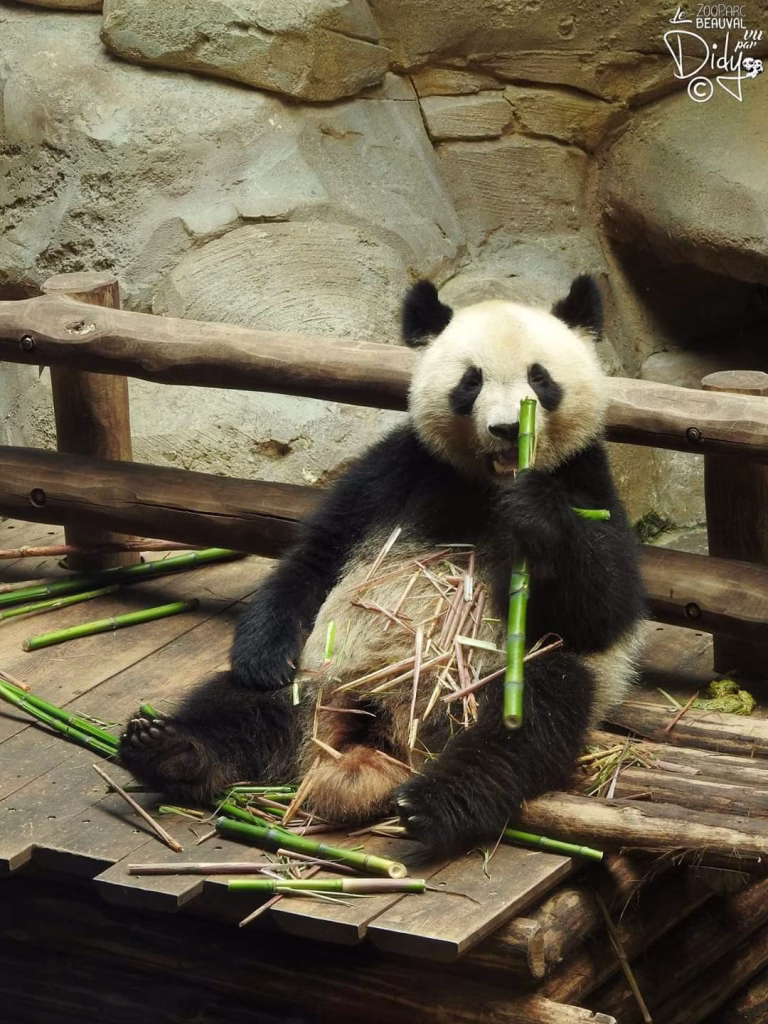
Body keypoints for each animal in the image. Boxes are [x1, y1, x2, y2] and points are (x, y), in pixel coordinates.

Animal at [120, 275, 646, 856]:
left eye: (540, 377)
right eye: (470, 381)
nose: (510, 428)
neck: (487, 485)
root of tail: (378, 735)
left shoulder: (585, 480)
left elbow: (605, 609)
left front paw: (533, 512)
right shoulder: (400, 470)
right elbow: (317, 554)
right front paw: (261, 655)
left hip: (495, 687)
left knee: (530, 720)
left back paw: (436, 805)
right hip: (316, 678)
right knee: (241, 706)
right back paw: (170, 749)